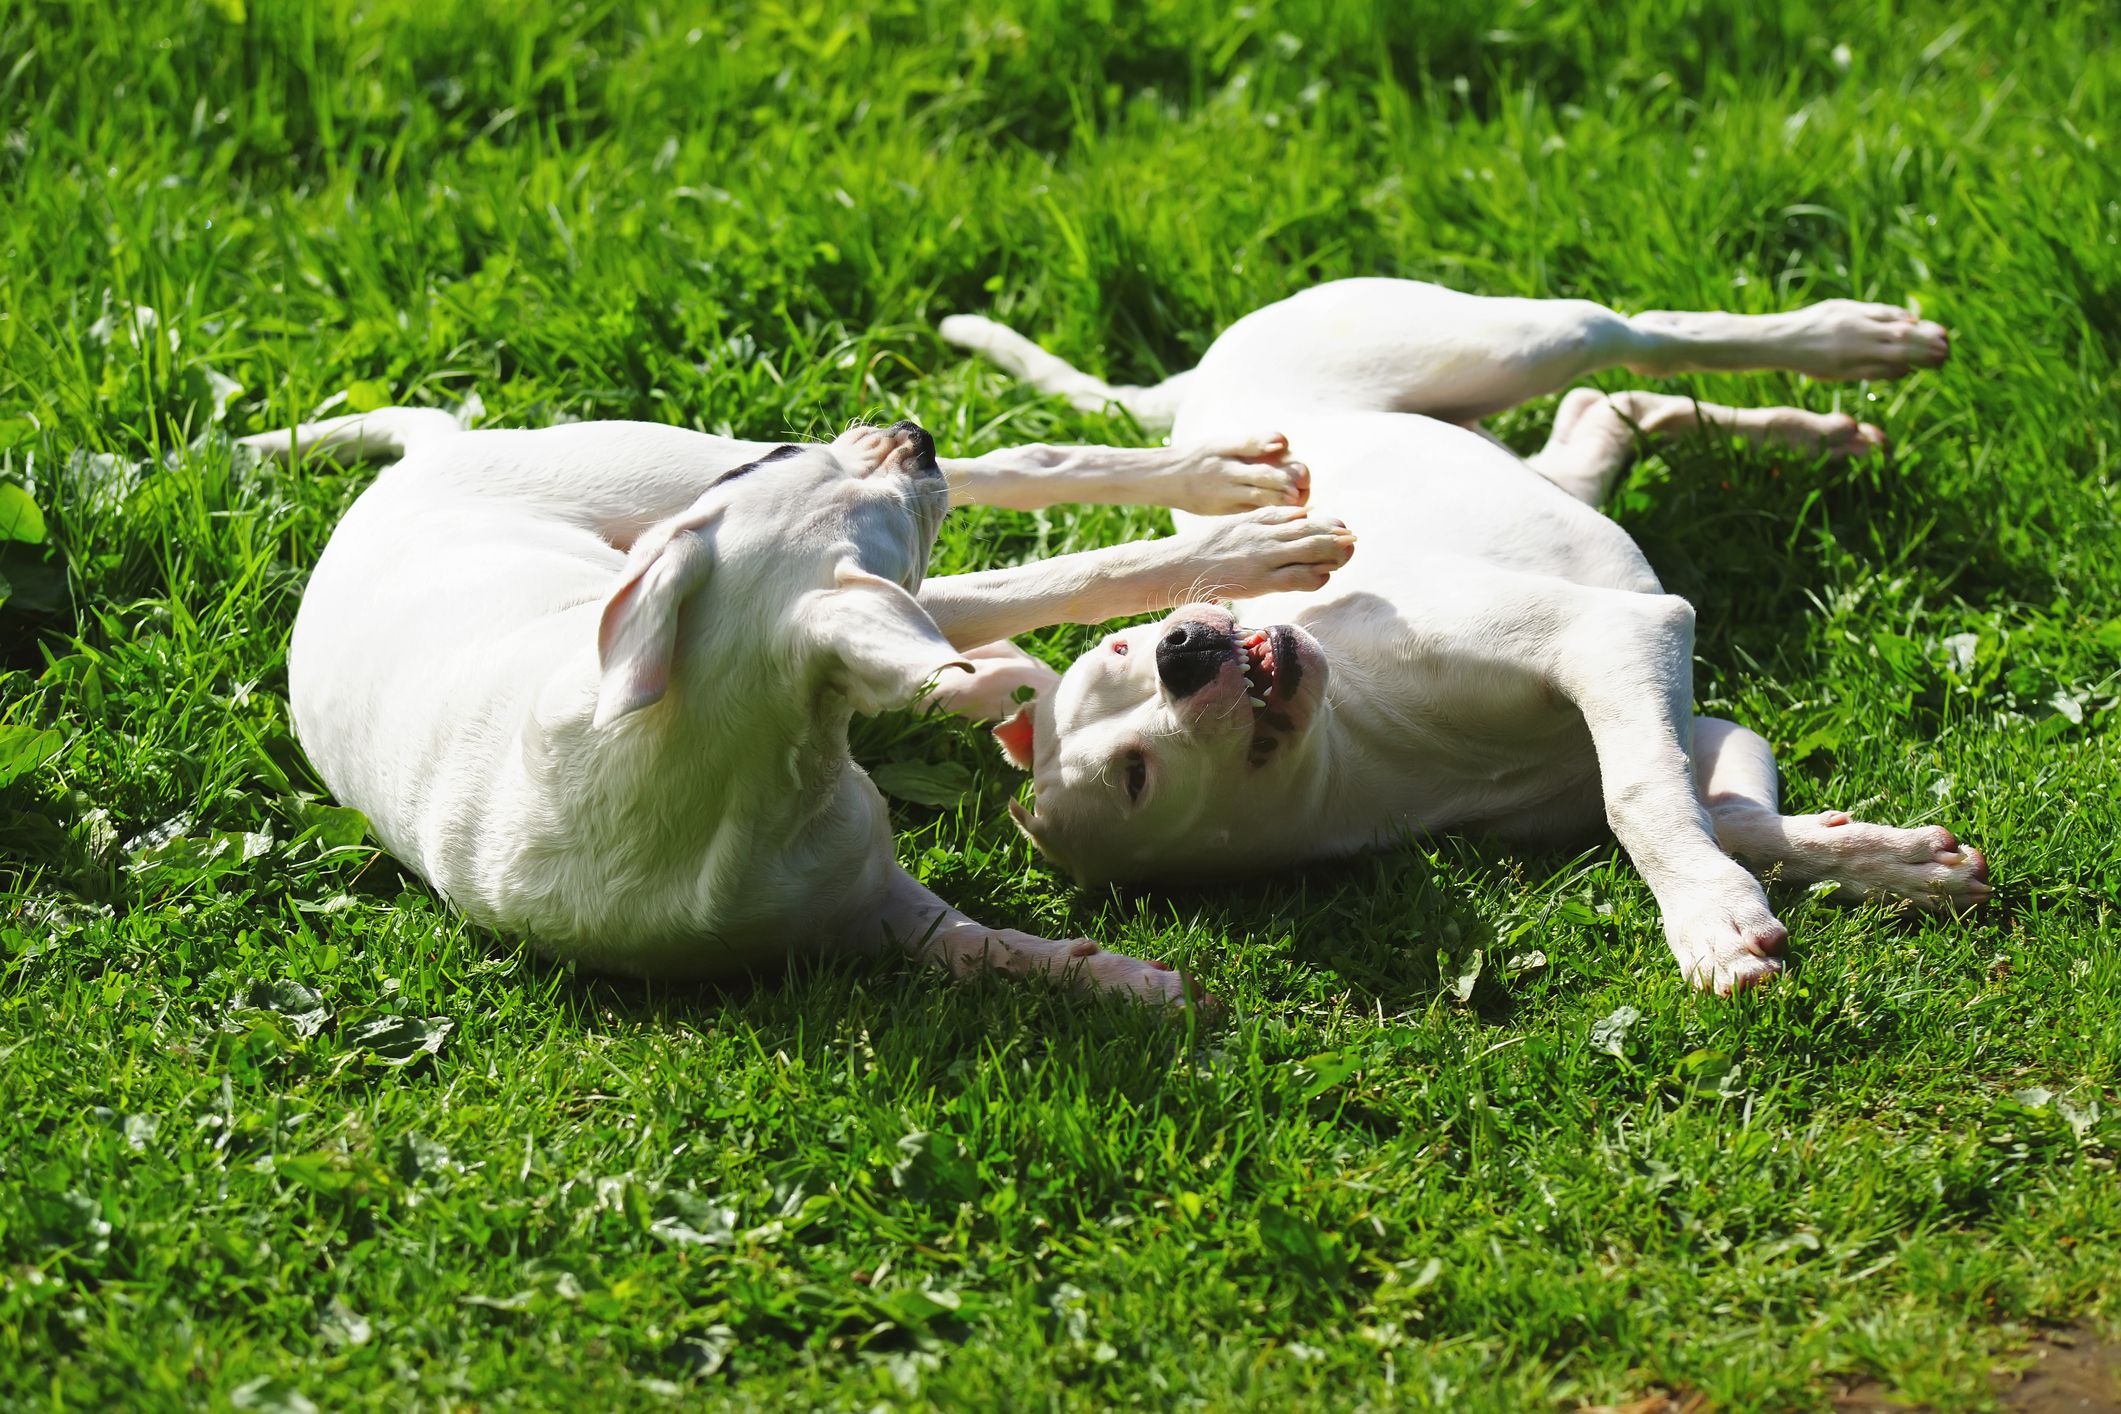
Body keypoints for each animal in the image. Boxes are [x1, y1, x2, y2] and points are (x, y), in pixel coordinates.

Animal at [240, 409, 1348, 1004]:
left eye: (766, 468)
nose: (909, 433)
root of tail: (418, 461)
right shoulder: (865, 907)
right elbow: (984, 946)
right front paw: (1127, 982)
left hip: (665, 467)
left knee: (1015, 464)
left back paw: (1226, 480)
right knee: (1004, 526)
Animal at [945, 275, 1985, 996]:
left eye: (1115, 654)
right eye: (1136, 775)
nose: (1182, 651)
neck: (1371, 745)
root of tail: (1202, 378)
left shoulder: (1611, 634)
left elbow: (1641, 795)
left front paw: (1709, 914)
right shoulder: (1690, 718)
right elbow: (1709, 809)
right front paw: (1884, 865)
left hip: (1510, 341)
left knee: (1639, 337)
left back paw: (1859, 340)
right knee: (1606, 407)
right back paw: (1818, 434)